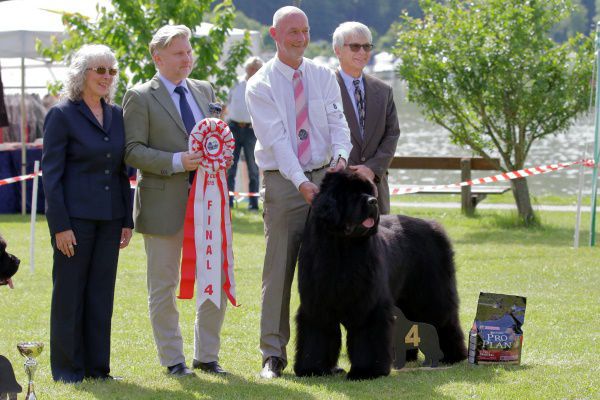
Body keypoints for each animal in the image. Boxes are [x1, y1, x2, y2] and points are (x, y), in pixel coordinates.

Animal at [296, 170, 468, 380]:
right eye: (351, 194)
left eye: (369, 192)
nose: (372, 202)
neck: (342, 248)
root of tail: (432, 225)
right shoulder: (317, 304)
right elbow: (317, 333)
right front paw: (312, 369)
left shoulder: (368, 305)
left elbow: (367, 335)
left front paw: (367, 371)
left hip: (432, 294)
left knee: (444, 319)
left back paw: (452, 356)